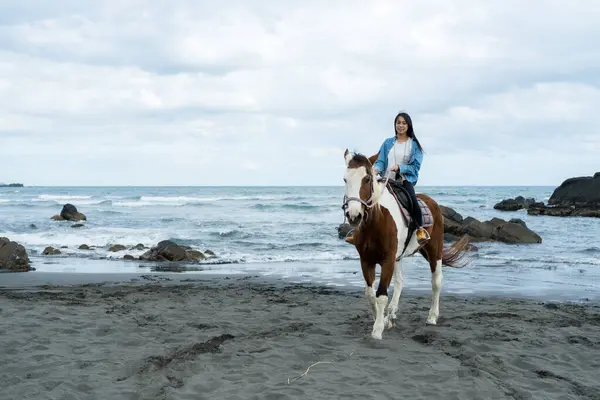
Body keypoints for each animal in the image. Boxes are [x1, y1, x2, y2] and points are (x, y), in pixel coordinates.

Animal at [340, 148, 472, 340]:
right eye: (345, 179)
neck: (376, 222)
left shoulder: (387, 260)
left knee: (436, 281)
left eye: (367, 179)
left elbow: (381, 295)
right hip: (398, 256)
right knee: (400, 282)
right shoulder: (366, 260)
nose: (354, 215)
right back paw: (392, 313)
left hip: (435, 250)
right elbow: (370, 294)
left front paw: (377, 330)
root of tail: (431, 202)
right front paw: (382, 320)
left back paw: (432, 317)